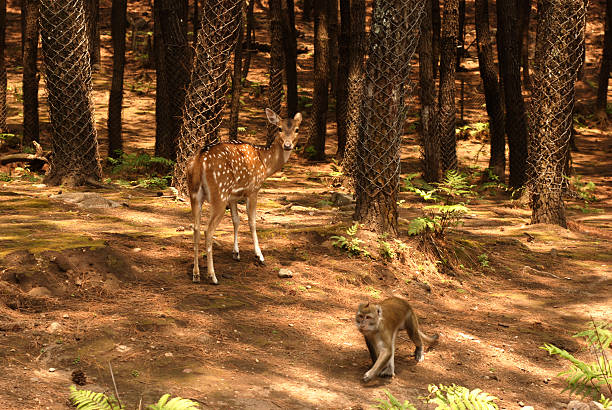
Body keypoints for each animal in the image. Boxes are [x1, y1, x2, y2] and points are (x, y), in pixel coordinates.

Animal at [186, 107, 302, 284]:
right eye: (279, 128)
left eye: (296, 129)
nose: (287, 145)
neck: (265, 164)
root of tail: (199, 160)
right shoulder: (253, 189)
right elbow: (252, 222)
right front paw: (259, 256)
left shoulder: (233, 196)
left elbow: (236, 220)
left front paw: (236, 253)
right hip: (219, 193)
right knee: (208, 230)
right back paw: (212, 276)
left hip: (195, 194)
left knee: (196, 228)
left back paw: (196, 274)